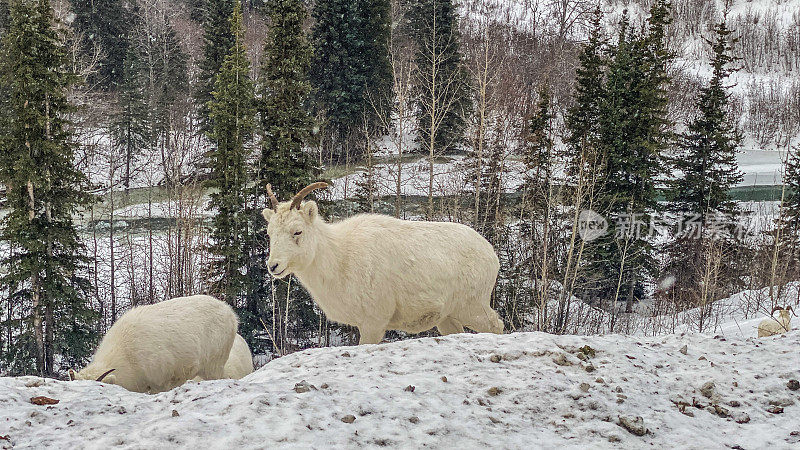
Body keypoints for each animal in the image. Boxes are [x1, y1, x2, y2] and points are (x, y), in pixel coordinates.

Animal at [262, 183, 504, 344]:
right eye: (270, 233)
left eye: (297, 231)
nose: (273, 266)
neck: (340, 258)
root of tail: (490, 254)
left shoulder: (374, 323)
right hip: (448, 318)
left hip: (473, 308)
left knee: (496, 325)